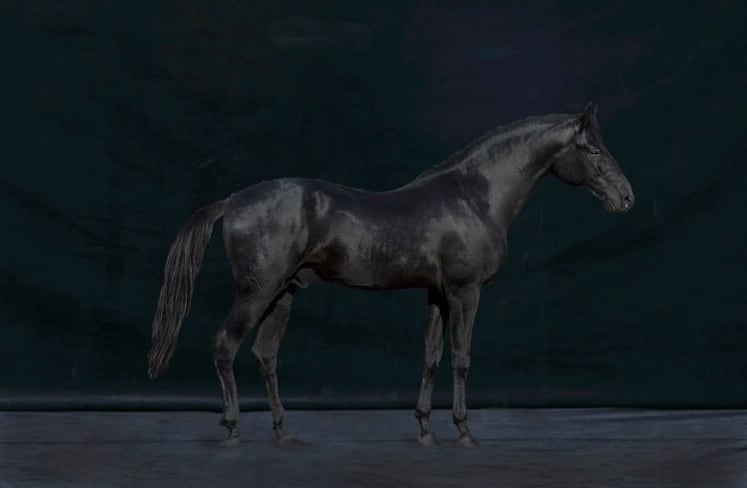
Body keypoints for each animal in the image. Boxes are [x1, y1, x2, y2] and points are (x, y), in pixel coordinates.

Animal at [147, 102, 634, 447]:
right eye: (593, 149)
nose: (626, 197)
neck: (474, 196)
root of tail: (232, 201)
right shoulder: (465, 293)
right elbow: (461, 358)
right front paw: (464, 431)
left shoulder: (437, 295)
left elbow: (432, 356)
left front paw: (425, 428)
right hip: (256, 293)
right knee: (224, 345)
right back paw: (232, 426)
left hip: (282, 295)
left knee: (265, 355)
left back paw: (283, 431)